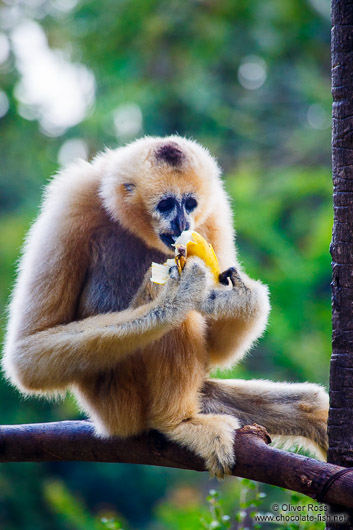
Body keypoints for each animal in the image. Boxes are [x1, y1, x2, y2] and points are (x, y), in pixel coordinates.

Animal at [2, 135, 328, 474]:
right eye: (166, 204)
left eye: (190, 203)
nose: (183, 222)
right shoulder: (71, 203)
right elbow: (28, 354)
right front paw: (174, 298)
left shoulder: (214, 212)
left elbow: (217, 349)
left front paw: (240, 299)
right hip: (116, 402)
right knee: (179, 321)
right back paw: (177, 422)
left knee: (309, 405)